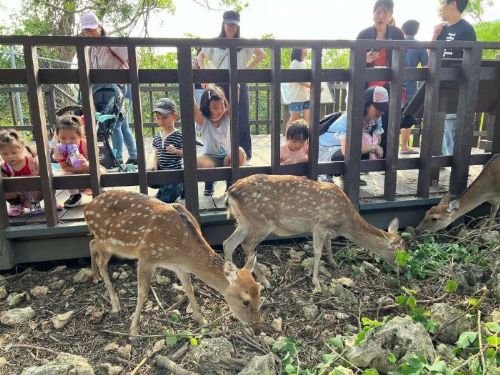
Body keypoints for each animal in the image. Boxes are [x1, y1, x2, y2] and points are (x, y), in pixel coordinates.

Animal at [83, 191, 262, 338]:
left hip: (108, 243)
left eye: (260, 293)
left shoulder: (180, 266)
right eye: (245, 301)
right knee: (100, 260)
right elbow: (143, 293)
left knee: (91, 244)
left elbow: (189, 288)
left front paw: (202, 320)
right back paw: (115, 304)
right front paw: (133, 331)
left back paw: (95, 277)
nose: (257, 329)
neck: (181, 251)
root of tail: (87, 209)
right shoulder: (147, 257)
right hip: (106, 240)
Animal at [223, 175, 406, 292]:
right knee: (246, 245)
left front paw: (333, 263)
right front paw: (316, 282)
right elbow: (317, 252)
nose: (403, 271)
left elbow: (328, 244)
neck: (345, 223)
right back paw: (265, 281)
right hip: (261, 222)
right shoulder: (320, 225)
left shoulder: (327, 229)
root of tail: (231, 191)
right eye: (400, 252)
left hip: (244, 222)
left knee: (228, 243)